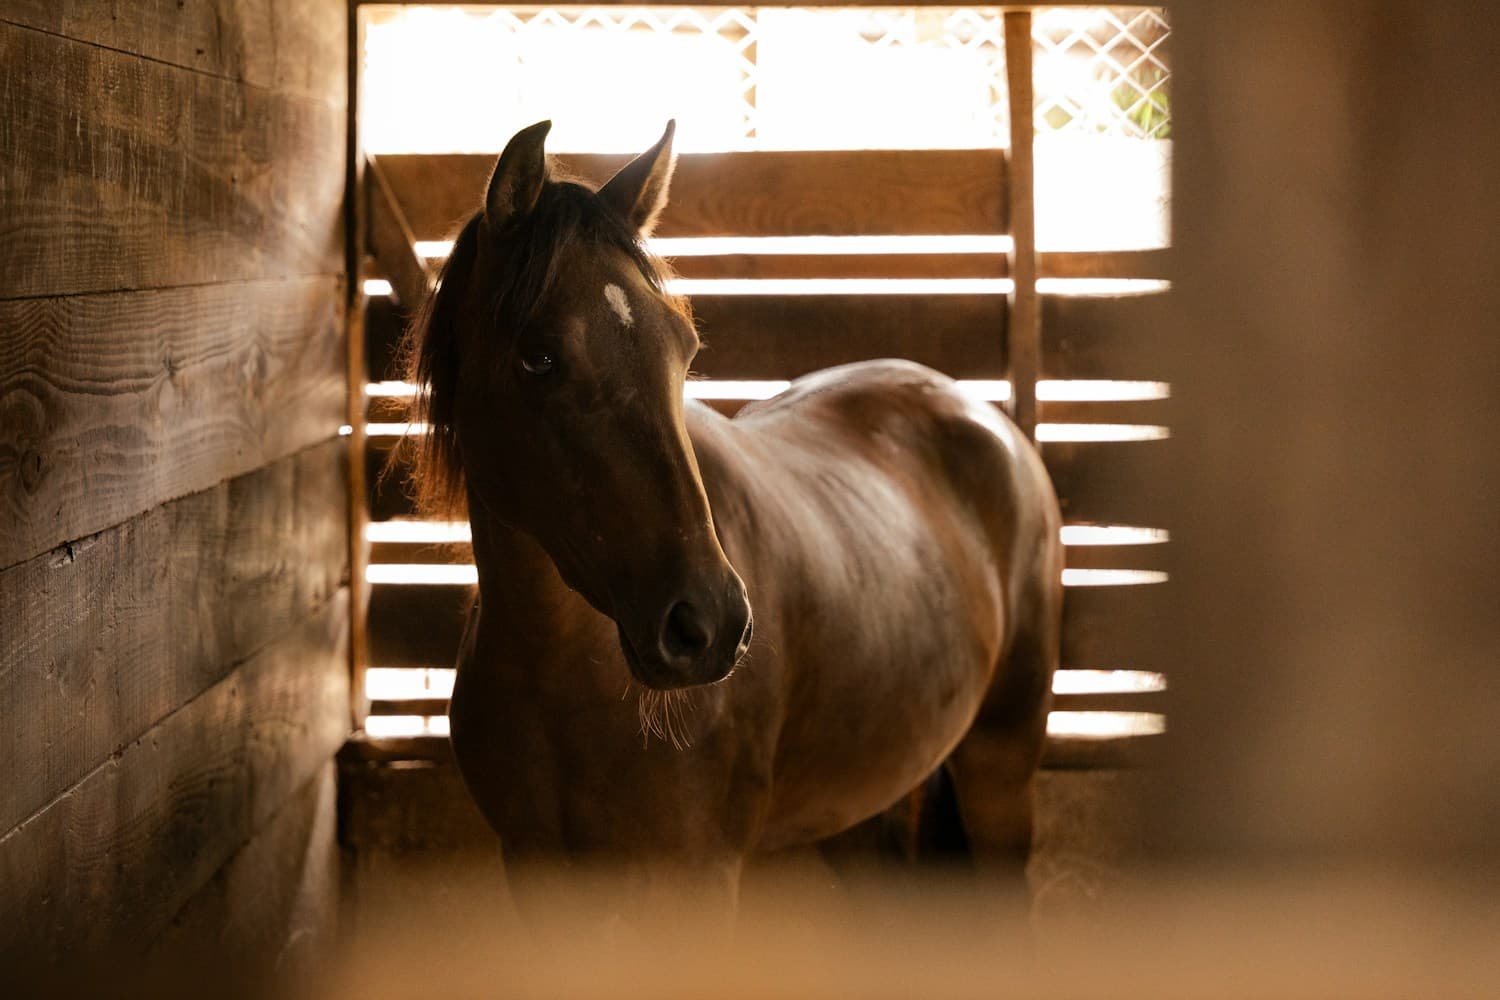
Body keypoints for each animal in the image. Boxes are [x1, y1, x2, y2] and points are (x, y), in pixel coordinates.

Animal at [398, 119, 1063, 933]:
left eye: (683, 348)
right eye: (539, 356)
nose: (708, 626)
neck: (560, 673)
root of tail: (983, 418)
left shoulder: (698, 879)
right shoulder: (536, 872)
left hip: (1001, 771)